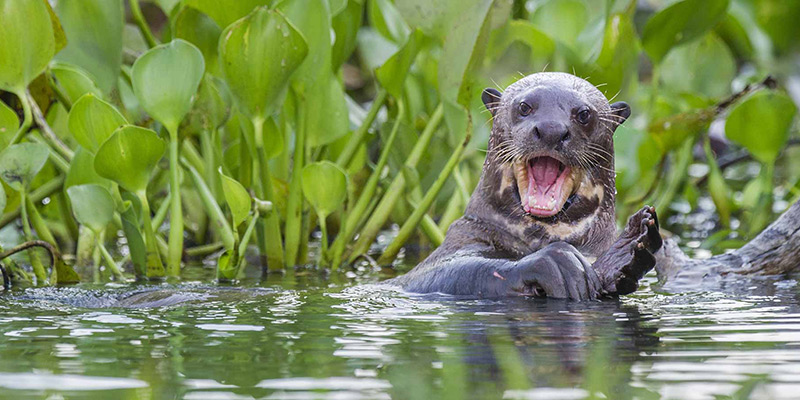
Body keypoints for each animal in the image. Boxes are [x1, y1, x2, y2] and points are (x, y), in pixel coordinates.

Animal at [389, 72, 800, 299]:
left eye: (583, 113)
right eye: (524, 107)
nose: (551, 129)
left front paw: (626, 253)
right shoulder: (457, 242)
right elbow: (441, 272)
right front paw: (556, 265)